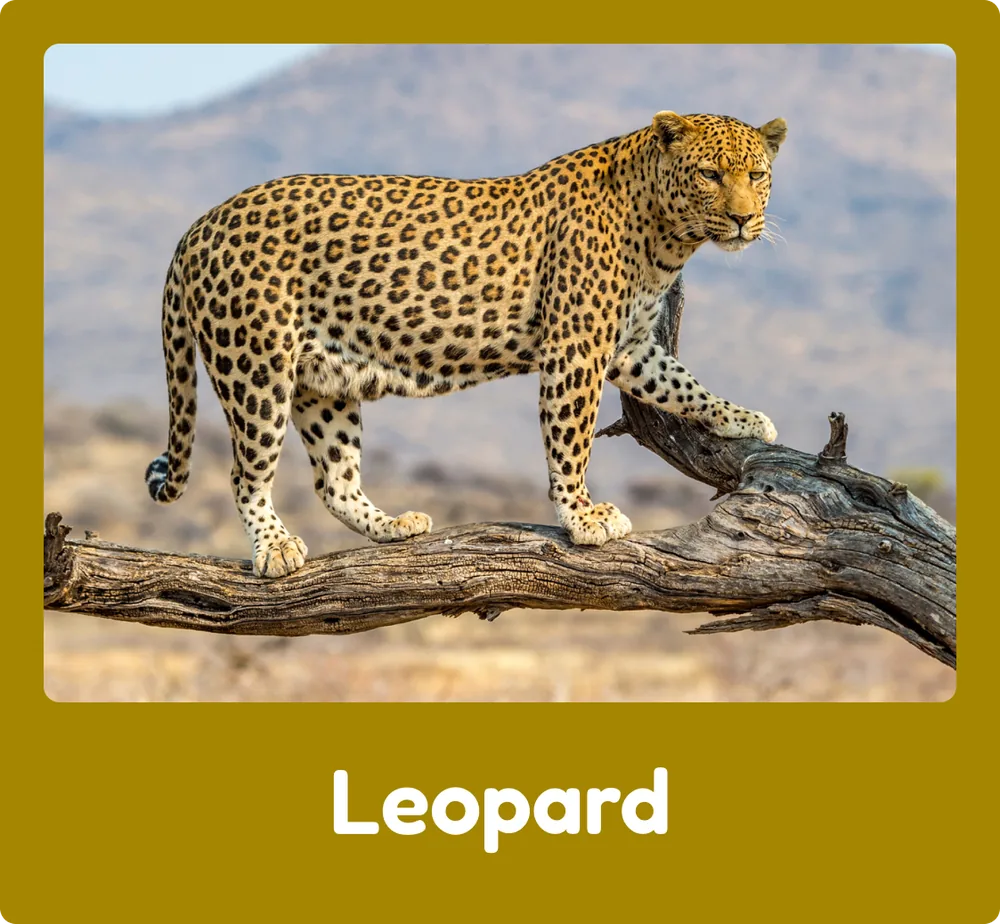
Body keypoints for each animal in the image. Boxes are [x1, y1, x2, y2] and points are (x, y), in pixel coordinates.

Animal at [146, 110, 787, 578]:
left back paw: (392, 527)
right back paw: (275, 549)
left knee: (335, 481)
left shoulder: (629, 347)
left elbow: (683, 384)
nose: (742, 219)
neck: (666, 238)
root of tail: (197, 226)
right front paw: (581, 517)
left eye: (755, 176)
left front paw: (743, 419)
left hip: (322, 382)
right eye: (709, 175)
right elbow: (571, 440)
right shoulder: (576, 348)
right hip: (256, 367)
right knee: (246, 474)